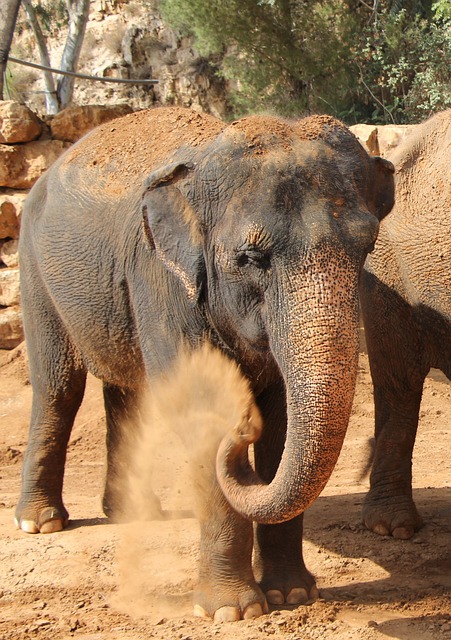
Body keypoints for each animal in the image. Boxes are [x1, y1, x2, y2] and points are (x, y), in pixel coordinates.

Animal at [15, 105, 396, 620]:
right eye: (251, 256)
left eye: (367, 248)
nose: (242, 432)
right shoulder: (159, 276)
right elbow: (202, 410)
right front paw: (232, 612)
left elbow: (280, 421)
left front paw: (293, 595)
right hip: (34, 269)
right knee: (59, 386)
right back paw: (41, 523)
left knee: (125, 393)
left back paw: (134, 513)